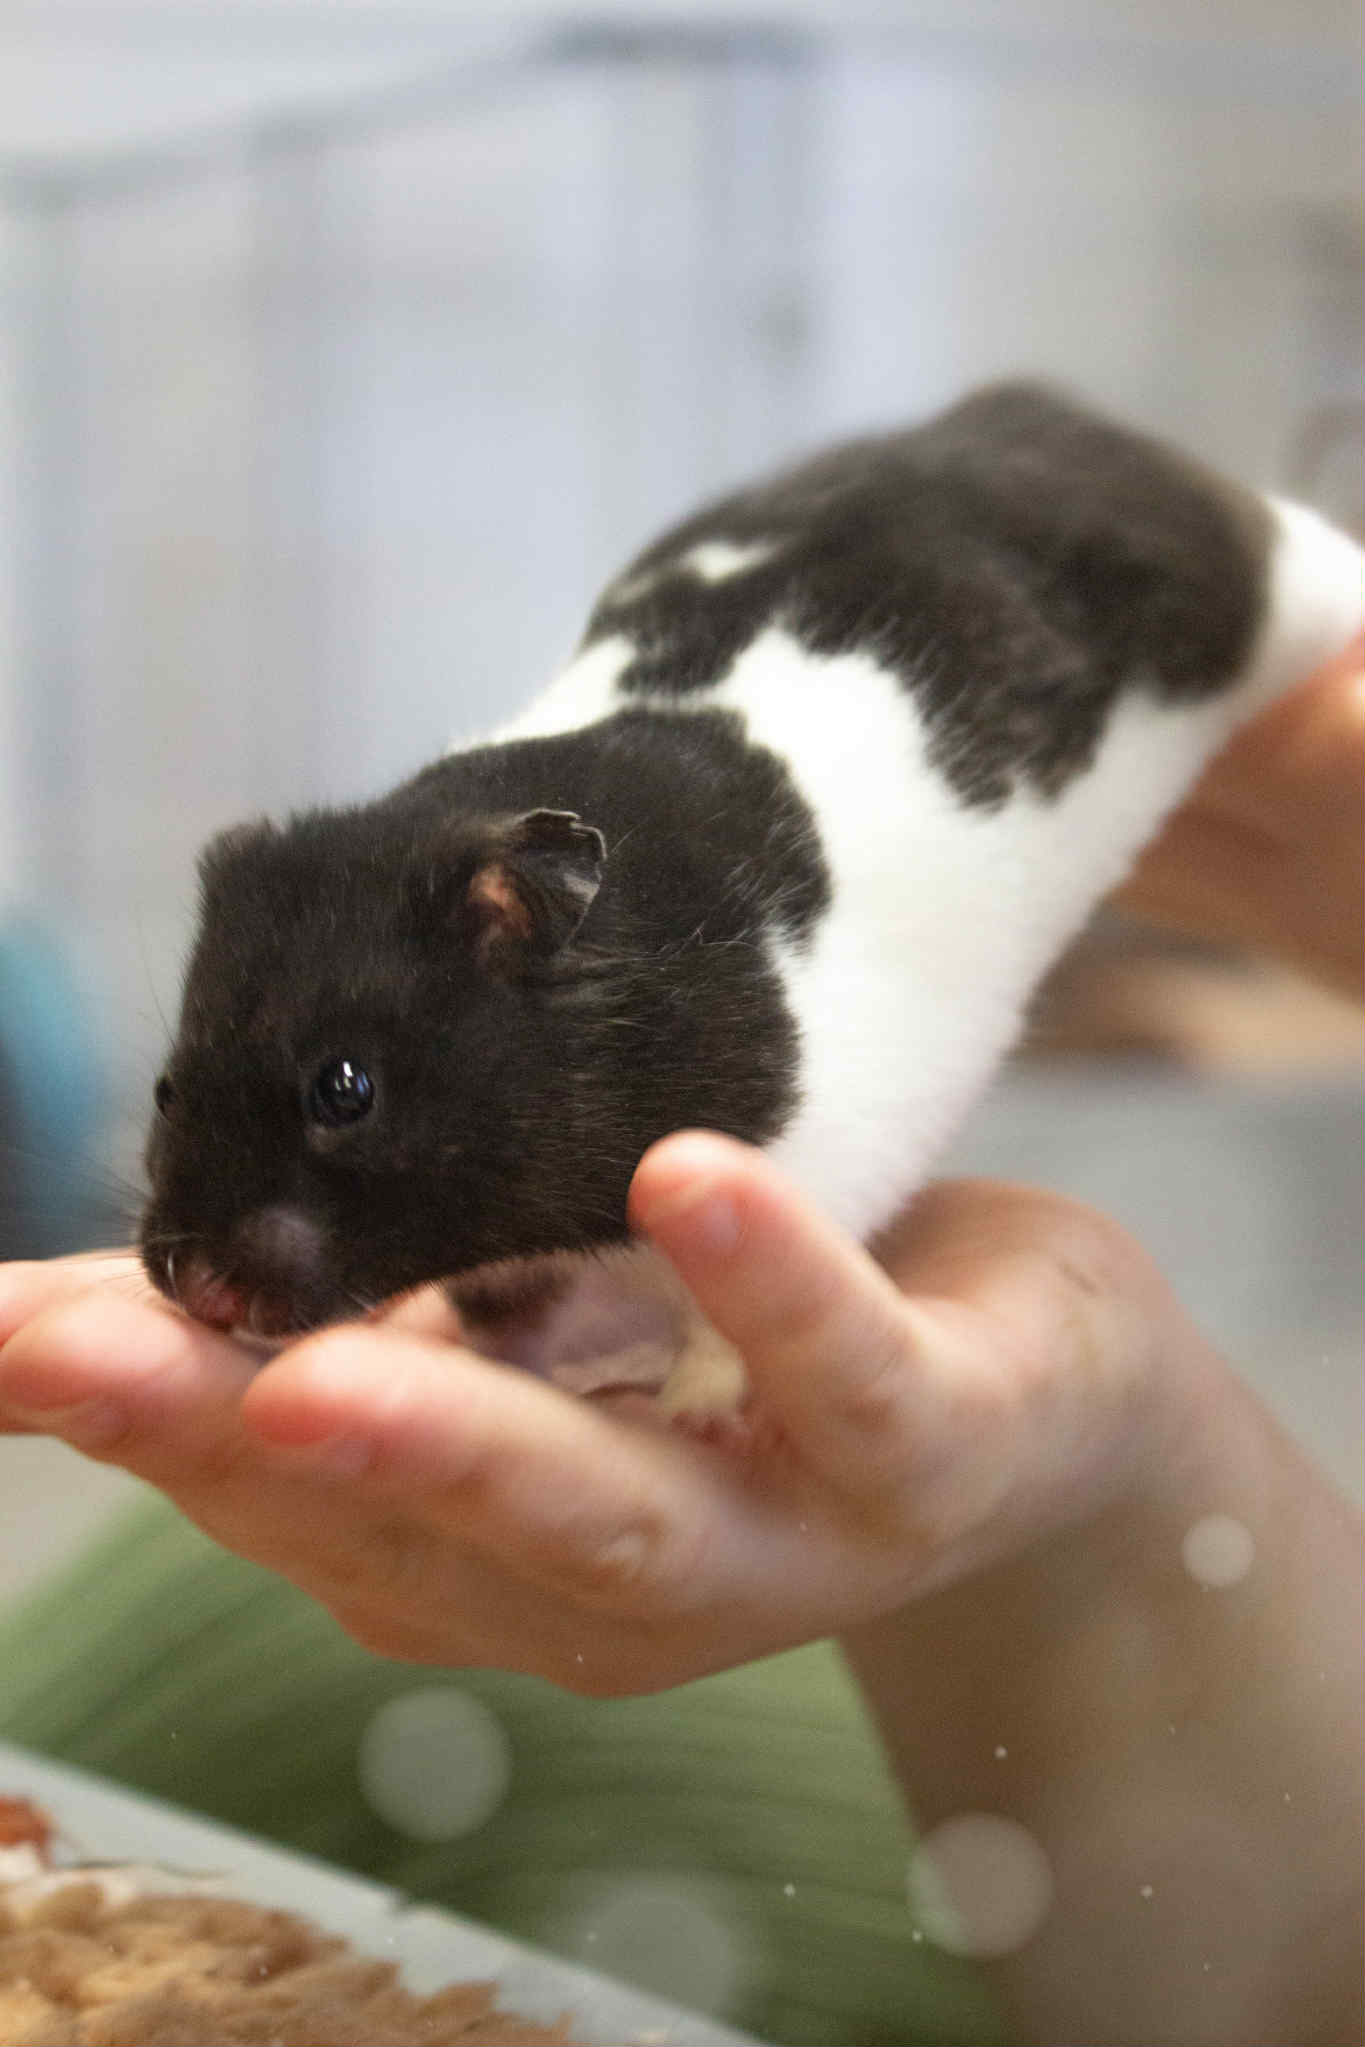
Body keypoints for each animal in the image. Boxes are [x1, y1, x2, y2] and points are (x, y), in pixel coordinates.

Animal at [140, 382, 1363, 1413]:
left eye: (344, 1090)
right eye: (162, 1087)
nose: (199, 1290)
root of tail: (1045, 405)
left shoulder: (809, 1169)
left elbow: (721, 1327)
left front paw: (685, 1403)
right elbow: (512, 1297)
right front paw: (544, 1356)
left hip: (1269, 585)